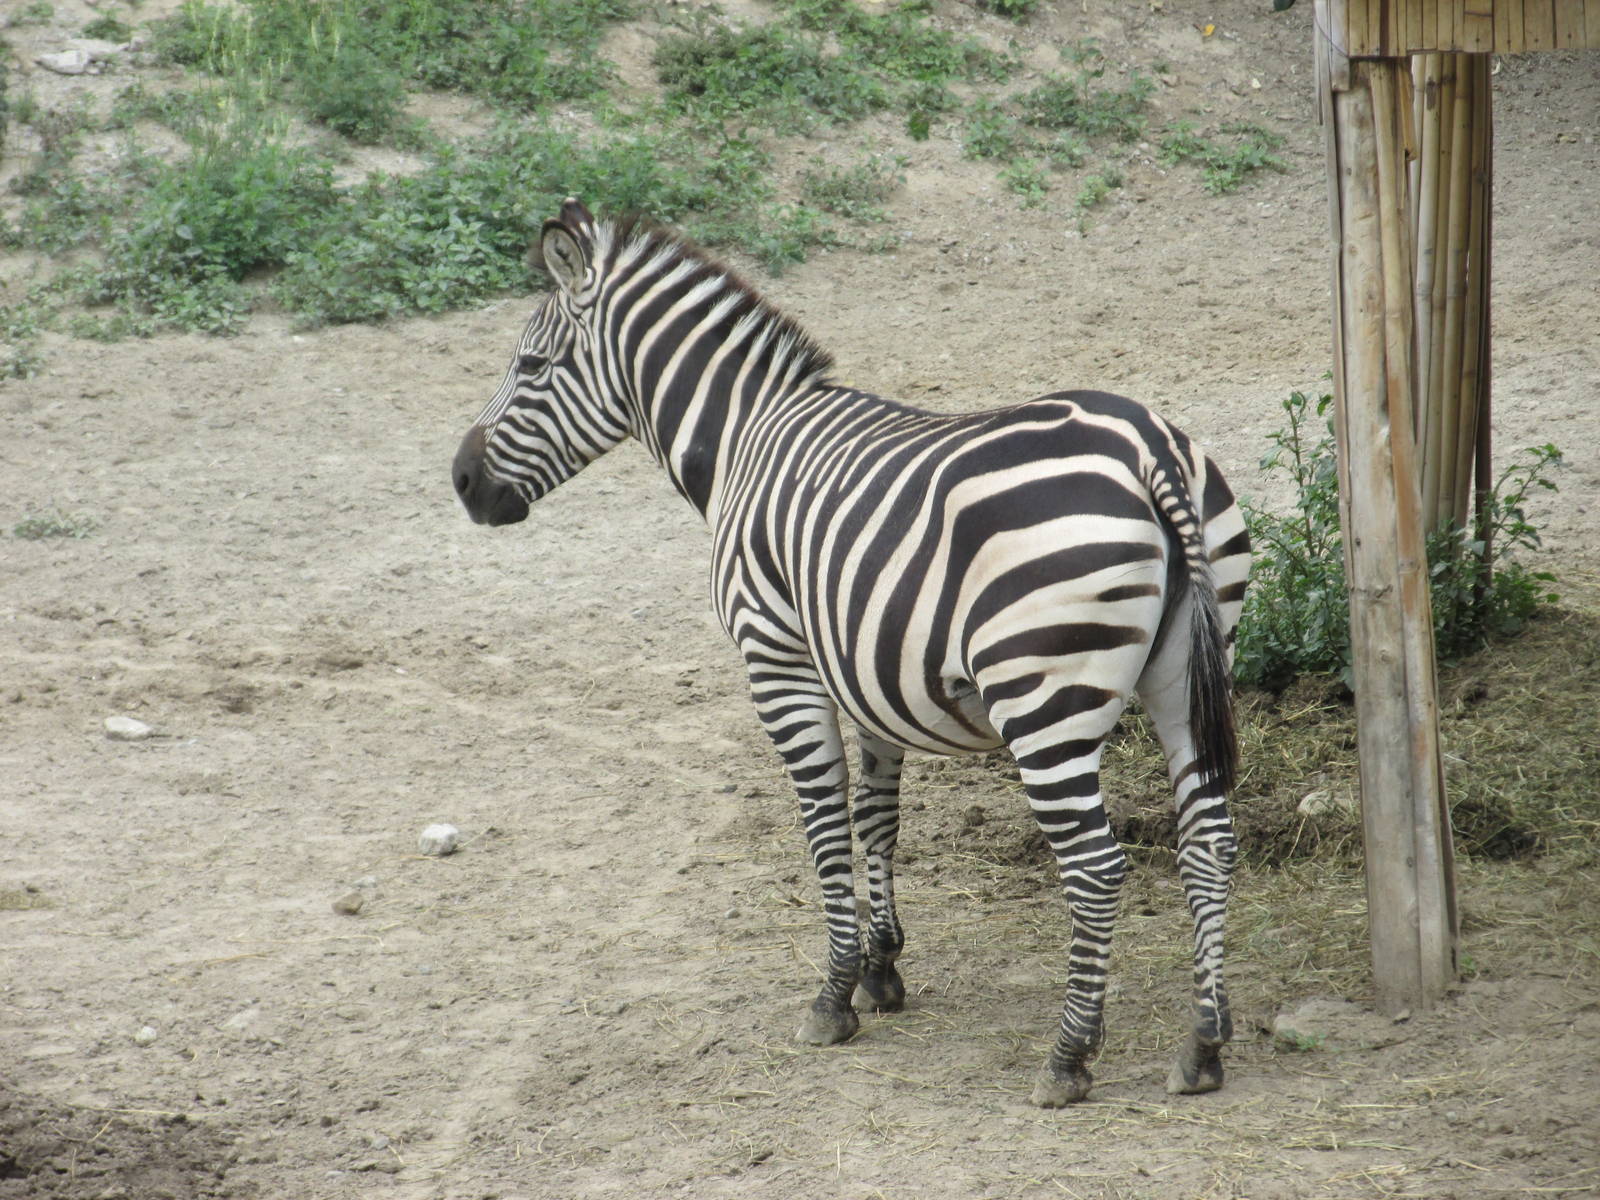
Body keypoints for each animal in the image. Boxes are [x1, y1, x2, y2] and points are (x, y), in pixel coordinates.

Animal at [452, 199, 1250, 1106]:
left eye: (532, 363)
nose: (462, 483)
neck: (743, 439)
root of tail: (1149, 447)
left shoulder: (777, 656)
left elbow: (824, 821)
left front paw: (835, 993)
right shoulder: (868, 668)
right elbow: (877, 816)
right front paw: (882, 967)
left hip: (1043, 698)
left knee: (1095, 867)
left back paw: (1068, 1057)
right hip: (1185, 677)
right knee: (1210, 843)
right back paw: (1203, 1043)